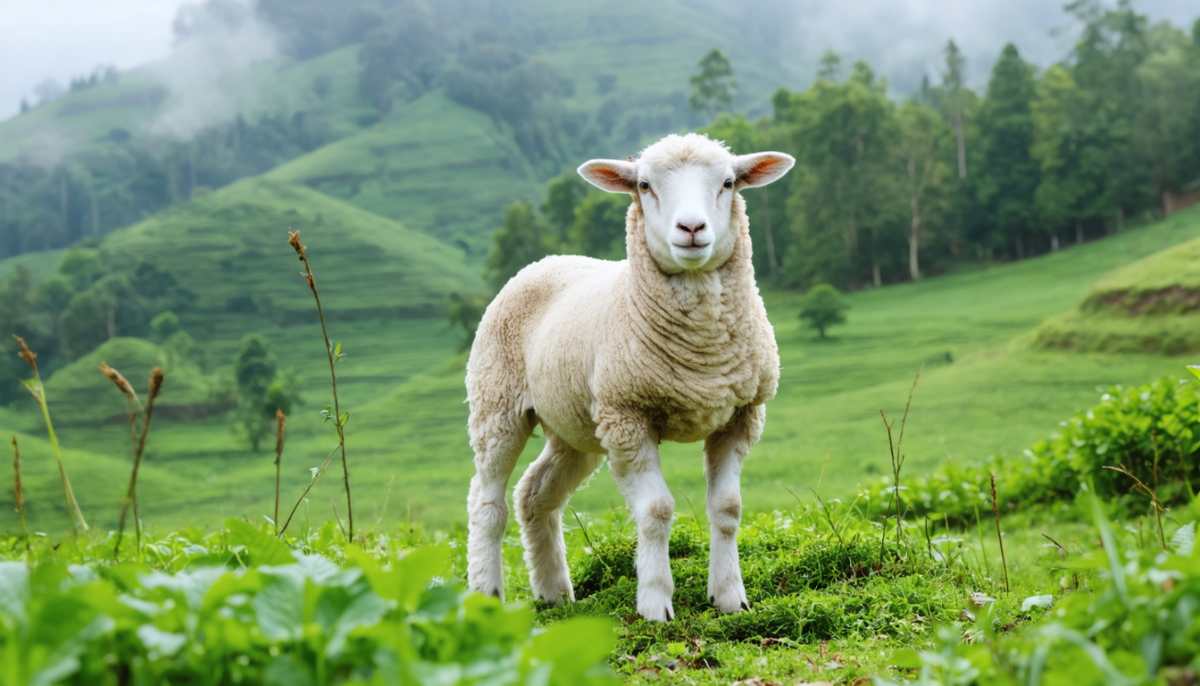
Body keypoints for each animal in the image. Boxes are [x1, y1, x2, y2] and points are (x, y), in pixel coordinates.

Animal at [465, 133, 794, 622]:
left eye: (728, 183)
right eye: (643, 185)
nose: (691, 228)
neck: (702, 354)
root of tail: (544, 261)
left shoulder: (741, 415)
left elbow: (728, 508)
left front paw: (730, 597)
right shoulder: (628, 417)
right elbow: (656, 510)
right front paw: (655, 604)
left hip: (577, 426)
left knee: (535, 494)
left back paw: (553, 592)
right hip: (497, 404)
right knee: (488, 501)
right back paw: (486, 594)